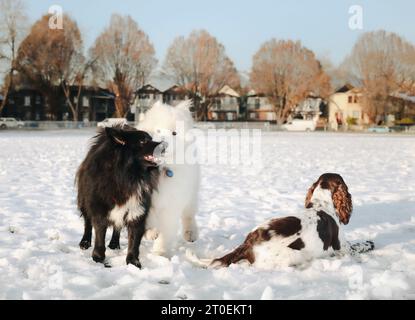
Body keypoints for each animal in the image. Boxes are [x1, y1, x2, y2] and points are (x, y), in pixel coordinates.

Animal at [75, 125, 167, 268]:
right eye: (143, 141)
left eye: (151, 138)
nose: (165, 145)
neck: (128, 176)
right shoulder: (99, 210)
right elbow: (99, 236)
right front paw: (98, 258)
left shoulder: (137, 211)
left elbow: (134, 241)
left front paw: (133, 262)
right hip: (85, 201)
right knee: (87, 223)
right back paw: (85, 242)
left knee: (117, 227)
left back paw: (114, 243)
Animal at [137, 100, 201, 258]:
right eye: (158, 130)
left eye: (174, 133)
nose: (163, 145)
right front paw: (150, 233)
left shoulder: (172, 204)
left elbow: (166, 232)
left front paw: (160, 253)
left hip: (191, 195)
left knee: (188, 215)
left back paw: (190, 234)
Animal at [213, 174, 376, 268]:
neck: (320, 203)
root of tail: (248, 244)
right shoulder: (342, 248)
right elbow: (359, 245)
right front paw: (369, 243)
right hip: (295, 255)